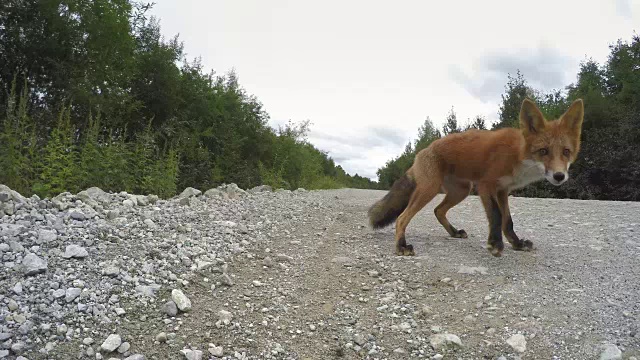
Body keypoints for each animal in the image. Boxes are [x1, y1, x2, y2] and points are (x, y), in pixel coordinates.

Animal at [370, 97, 584, 256]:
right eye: (543, 151)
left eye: (566, 152)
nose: (559, 176)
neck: (518, 154)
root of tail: (422, 151)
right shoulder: (486, 185)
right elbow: (496, 216)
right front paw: (495, 244)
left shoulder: (503, 190)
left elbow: (508, 221)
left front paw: (516, 243)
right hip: (430, 189)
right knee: (402, 218)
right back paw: (401, 246)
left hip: (461, 191)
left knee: (438, 211)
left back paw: (454, 232)